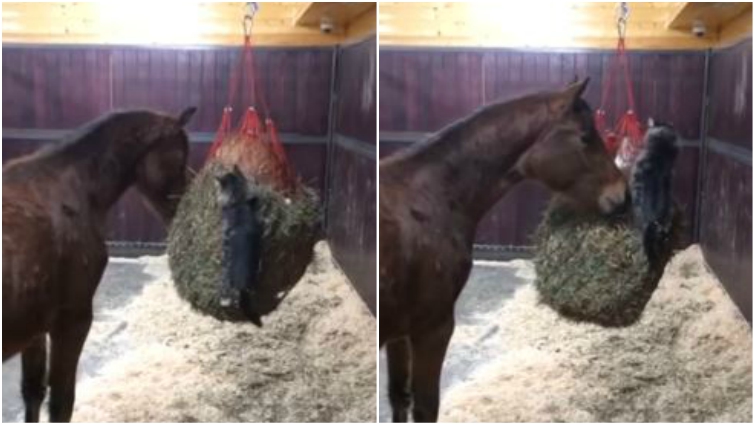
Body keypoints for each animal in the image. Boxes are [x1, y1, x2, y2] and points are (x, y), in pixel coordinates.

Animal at [2, 107, 196, 422]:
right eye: (179, 157)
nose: (183, 211)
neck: (73, 190)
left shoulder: (35, 327)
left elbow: (33, 392)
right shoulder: (72, 320)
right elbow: (61, 403)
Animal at [379, 79, 628, 422]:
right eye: (585, 136)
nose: (622, 196)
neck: (431, 197)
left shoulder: (400, 333)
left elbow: (399, 397)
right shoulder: (433, 328)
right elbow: (426, 406)